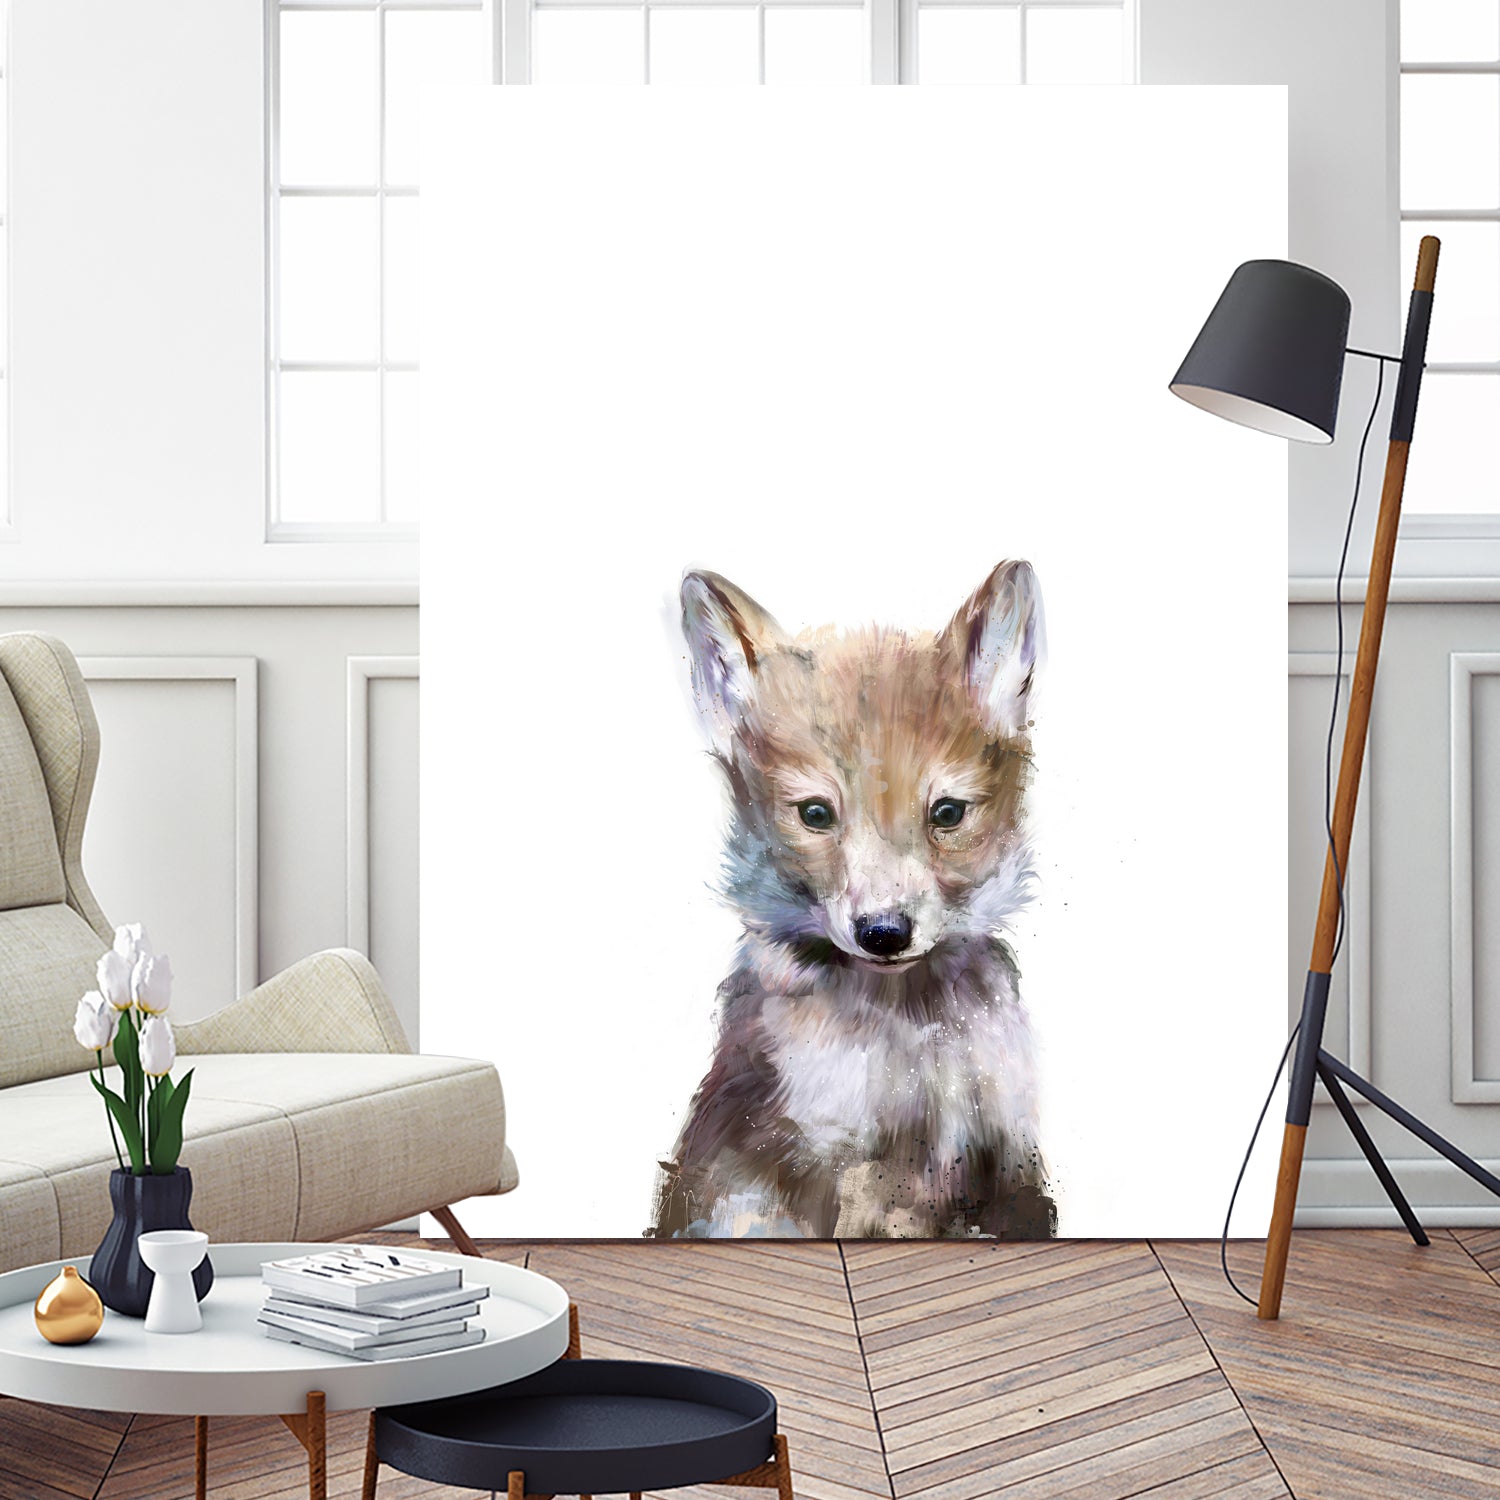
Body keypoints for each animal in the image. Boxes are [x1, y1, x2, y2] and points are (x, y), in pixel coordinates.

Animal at [650, 561, 1056, 1240]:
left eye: (948, 813)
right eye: (816, 814)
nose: (884, 933)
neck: (911, 1039)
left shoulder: (1005, 1156)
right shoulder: (834, 1163)